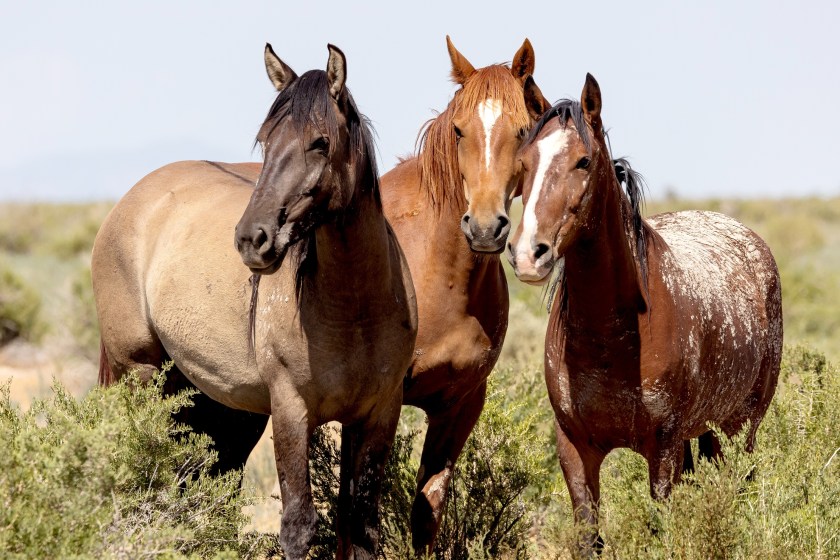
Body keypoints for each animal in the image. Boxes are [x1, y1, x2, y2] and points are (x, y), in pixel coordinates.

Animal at [92, 44, 417, 560]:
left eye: (320, 142)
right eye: (266, 141)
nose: (252, 239)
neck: (355, 310)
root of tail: (130, 202)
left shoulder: (378, 415)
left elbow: (360, 526)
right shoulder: (290, 409)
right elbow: (298, 525)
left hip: (215, 403)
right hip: (138, 376)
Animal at [507, 74, 782, 550]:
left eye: (583, 161)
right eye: (524, 162)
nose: (528, 254)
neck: (610, 336)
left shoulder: (663, 448)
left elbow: (659, 529)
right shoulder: (575, 449)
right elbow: (589, 536)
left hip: (740, 429)